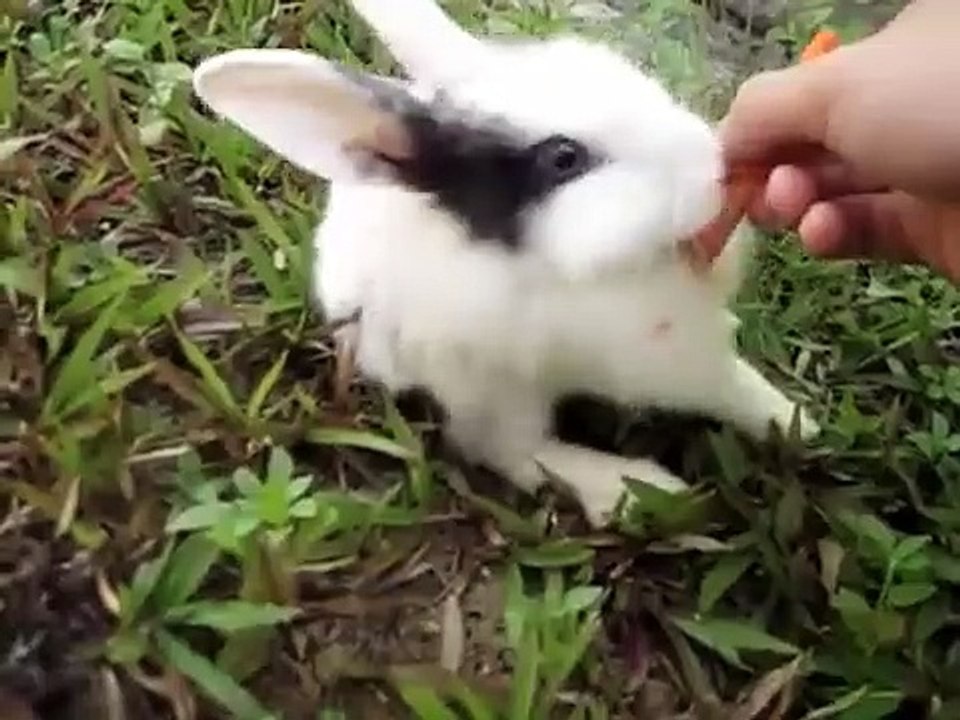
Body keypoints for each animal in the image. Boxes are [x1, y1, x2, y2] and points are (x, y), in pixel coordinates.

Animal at [192, 0, 820, 528]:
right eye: (564, 158)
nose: (715, 169)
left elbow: (734, 383)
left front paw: (794, 423)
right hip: (489, 392)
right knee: (509, 450)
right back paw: (635, 487)